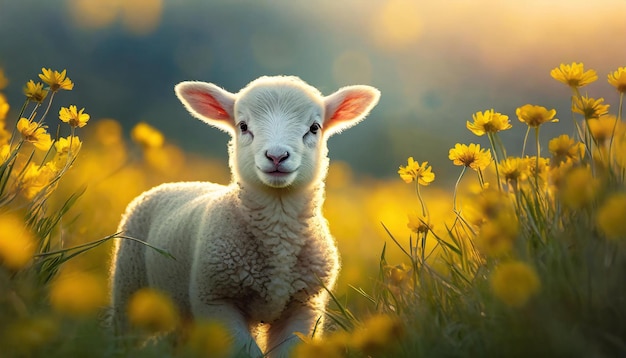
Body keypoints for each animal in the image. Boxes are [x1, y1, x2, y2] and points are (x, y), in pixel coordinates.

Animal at [109, 75, 378, 356]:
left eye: (314, 127)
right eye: (243, 125)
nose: (277, 156)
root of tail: (178, 183)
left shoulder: (304, 306)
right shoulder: (217, 301)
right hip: (129, 286)